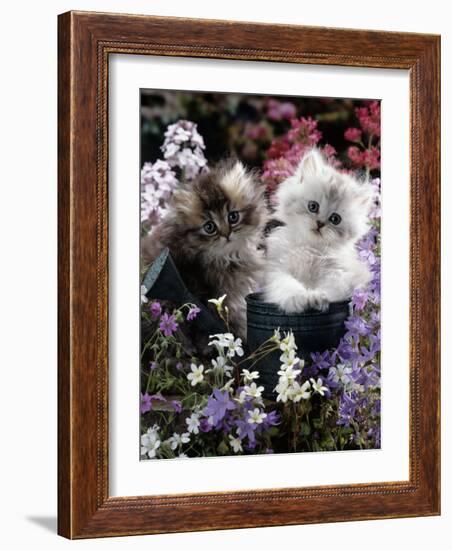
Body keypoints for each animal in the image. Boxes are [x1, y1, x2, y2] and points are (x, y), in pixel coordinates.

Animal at [264, 151, 374, 312]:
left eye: (335, 219)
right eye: (313, 206)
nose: (320, 223)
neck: (310, 248)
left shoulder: (339, 275)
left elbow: (330, 289)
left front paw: (318, 297)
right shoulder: (278, 270)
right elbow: (288, 286)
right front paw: (302, 298)